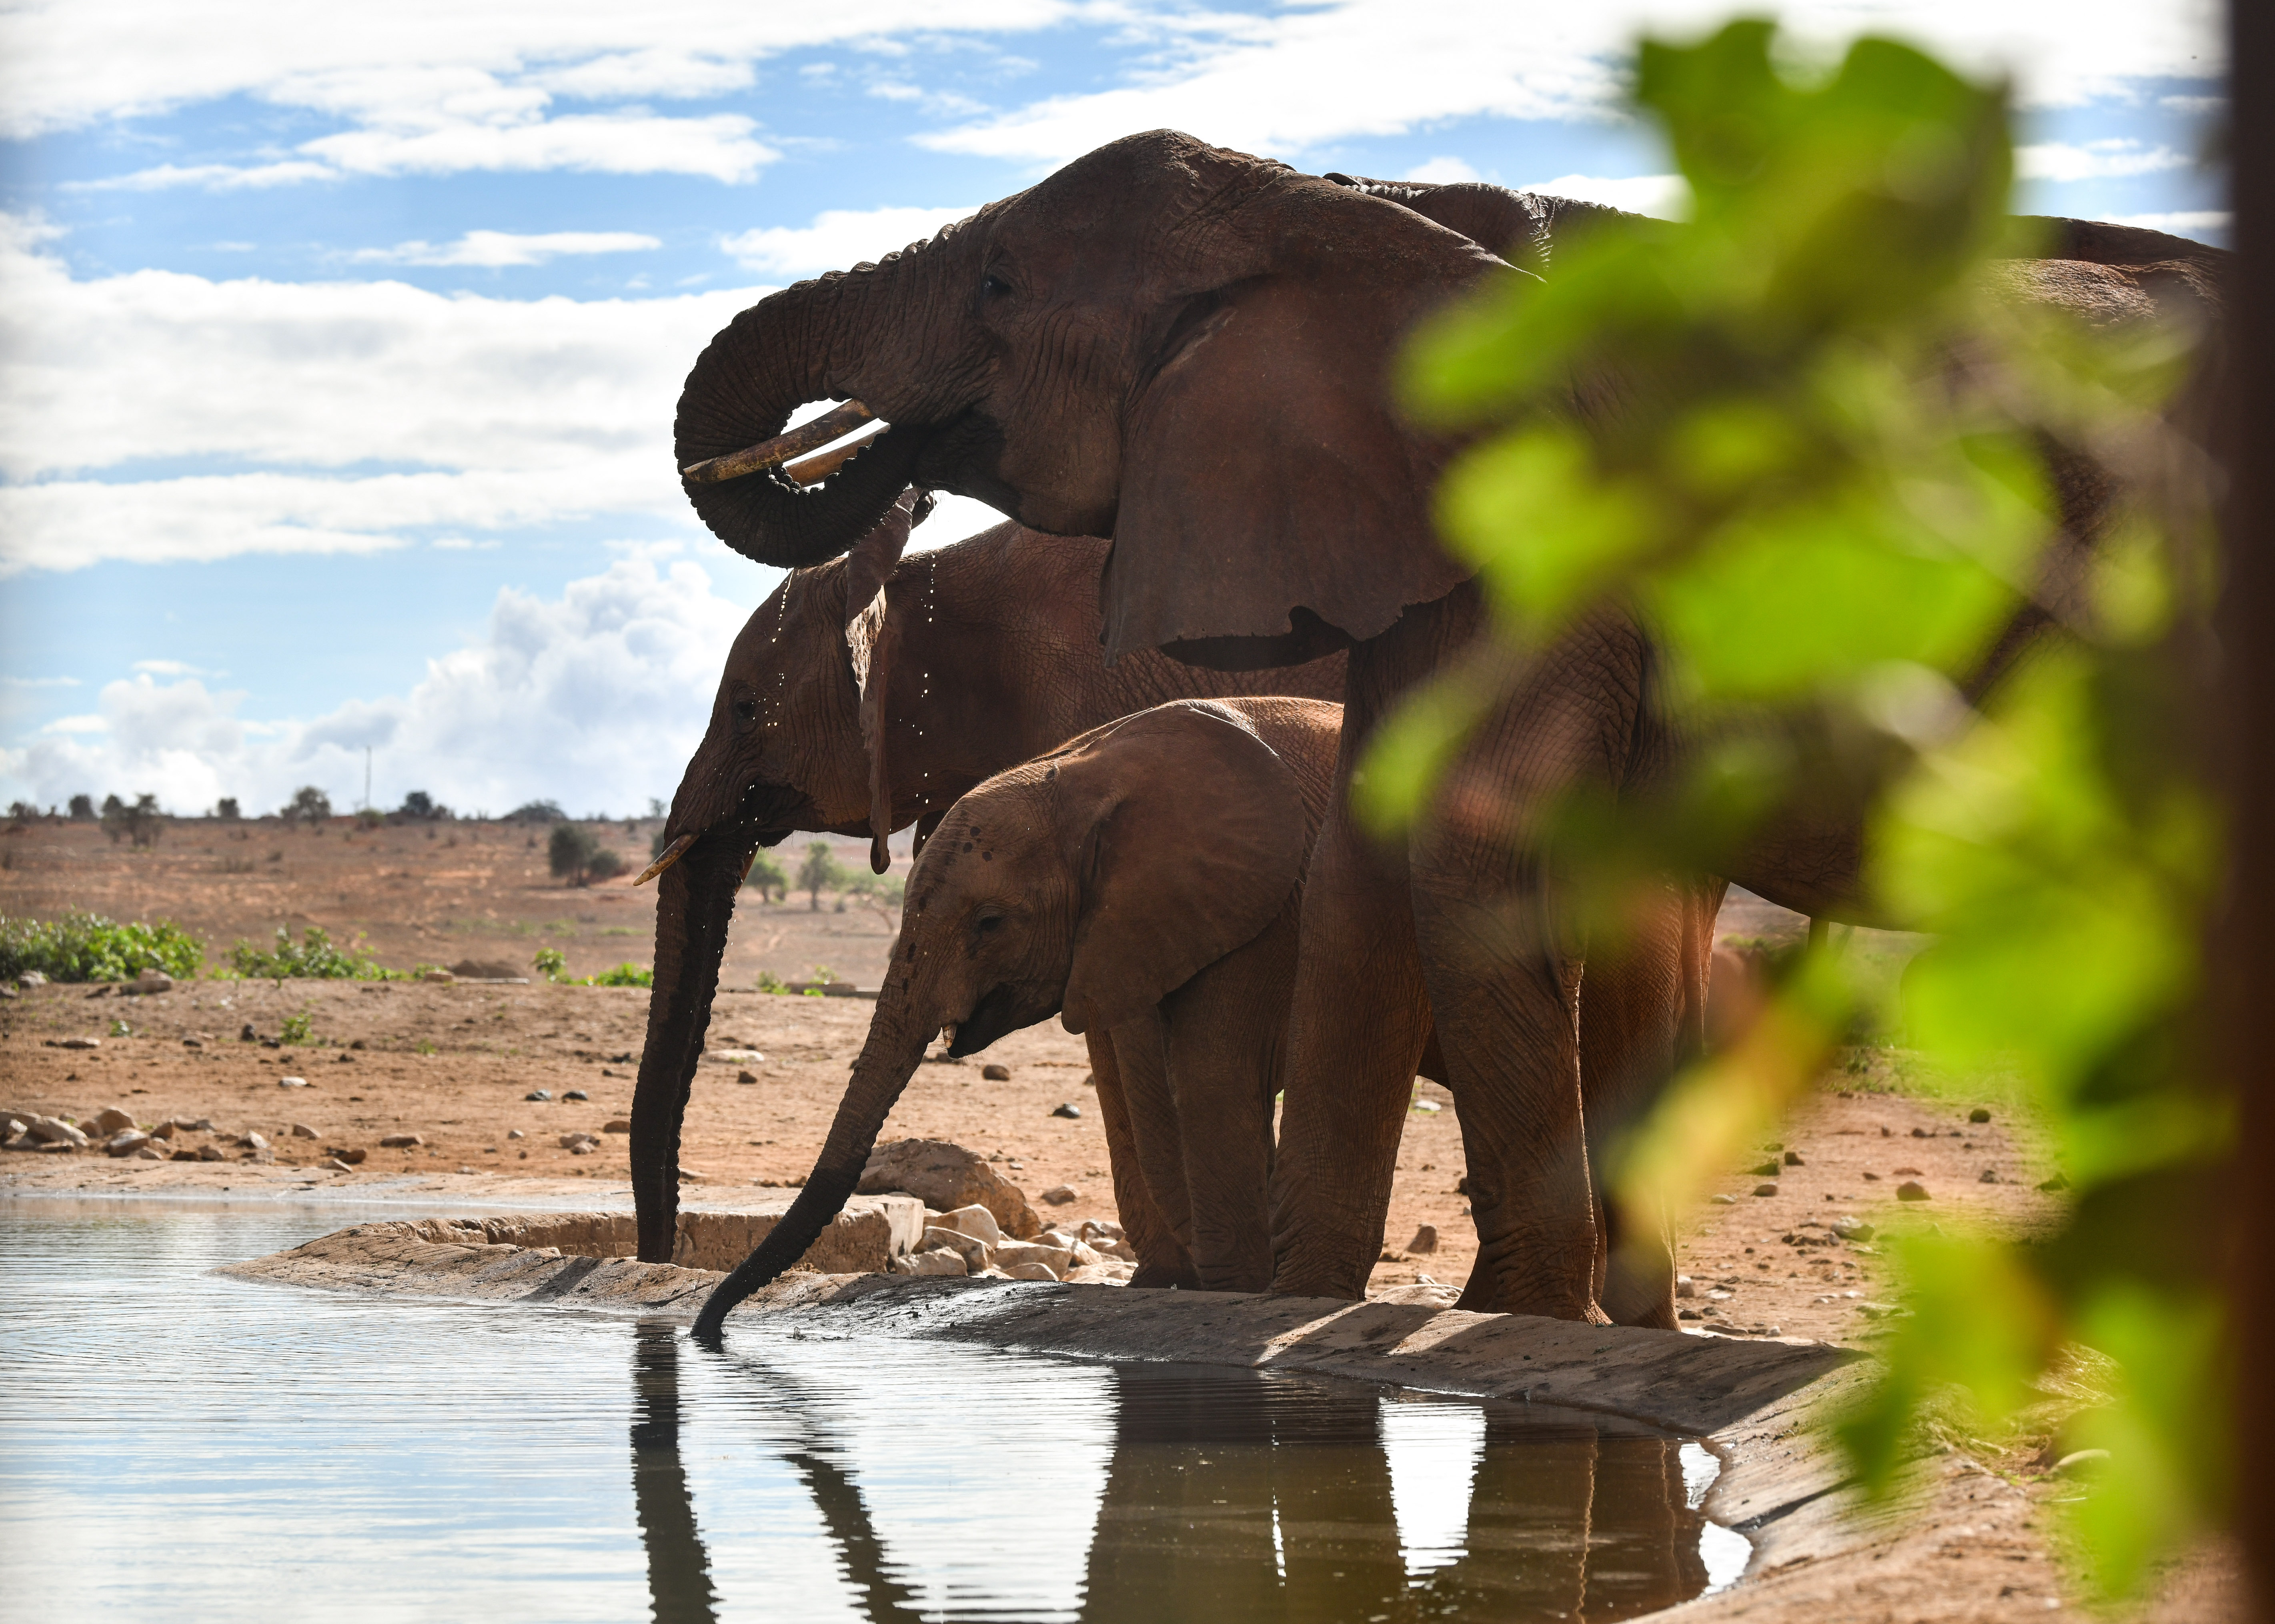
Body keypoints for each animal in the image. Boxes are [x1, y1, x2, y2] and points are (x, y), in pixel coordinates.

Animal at [692, 697, 1343, 1337]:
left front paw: (1236, 1292)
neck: (1087, 774)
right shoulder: (1143, 928)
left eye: (990, 923)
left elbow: (1210, 1079)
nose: (709, 1328)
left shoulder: (1256, 914)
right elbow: (1152, 1090)